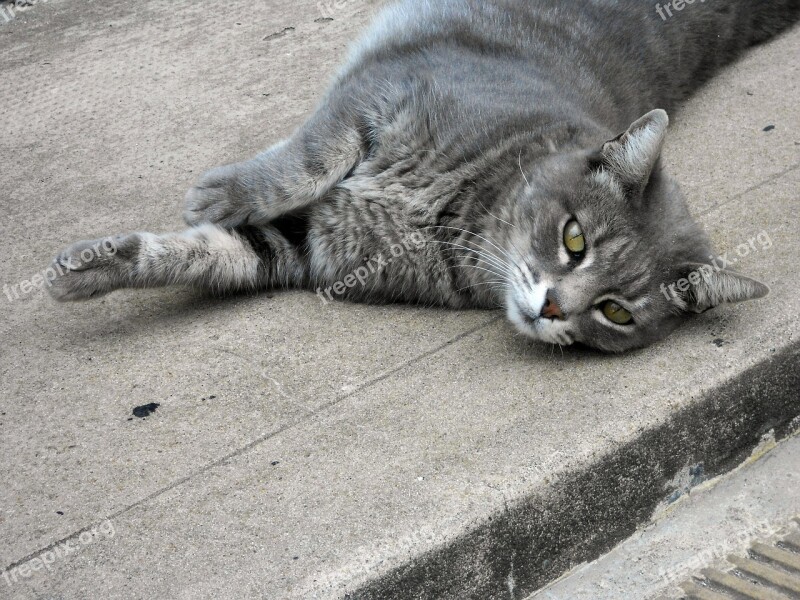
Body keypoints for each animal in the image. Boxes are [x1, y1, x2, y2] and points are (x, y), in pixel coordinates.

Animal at [45, 0, 800, 354]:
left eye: (616, 312)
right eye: (575, 239)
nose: (553, 309)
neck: (455, 214)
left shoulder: (317, 246)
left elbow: (213, 254)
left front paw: (97, 267)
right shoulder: (380, 92)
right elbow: (301, 163)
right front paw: (221, 194)